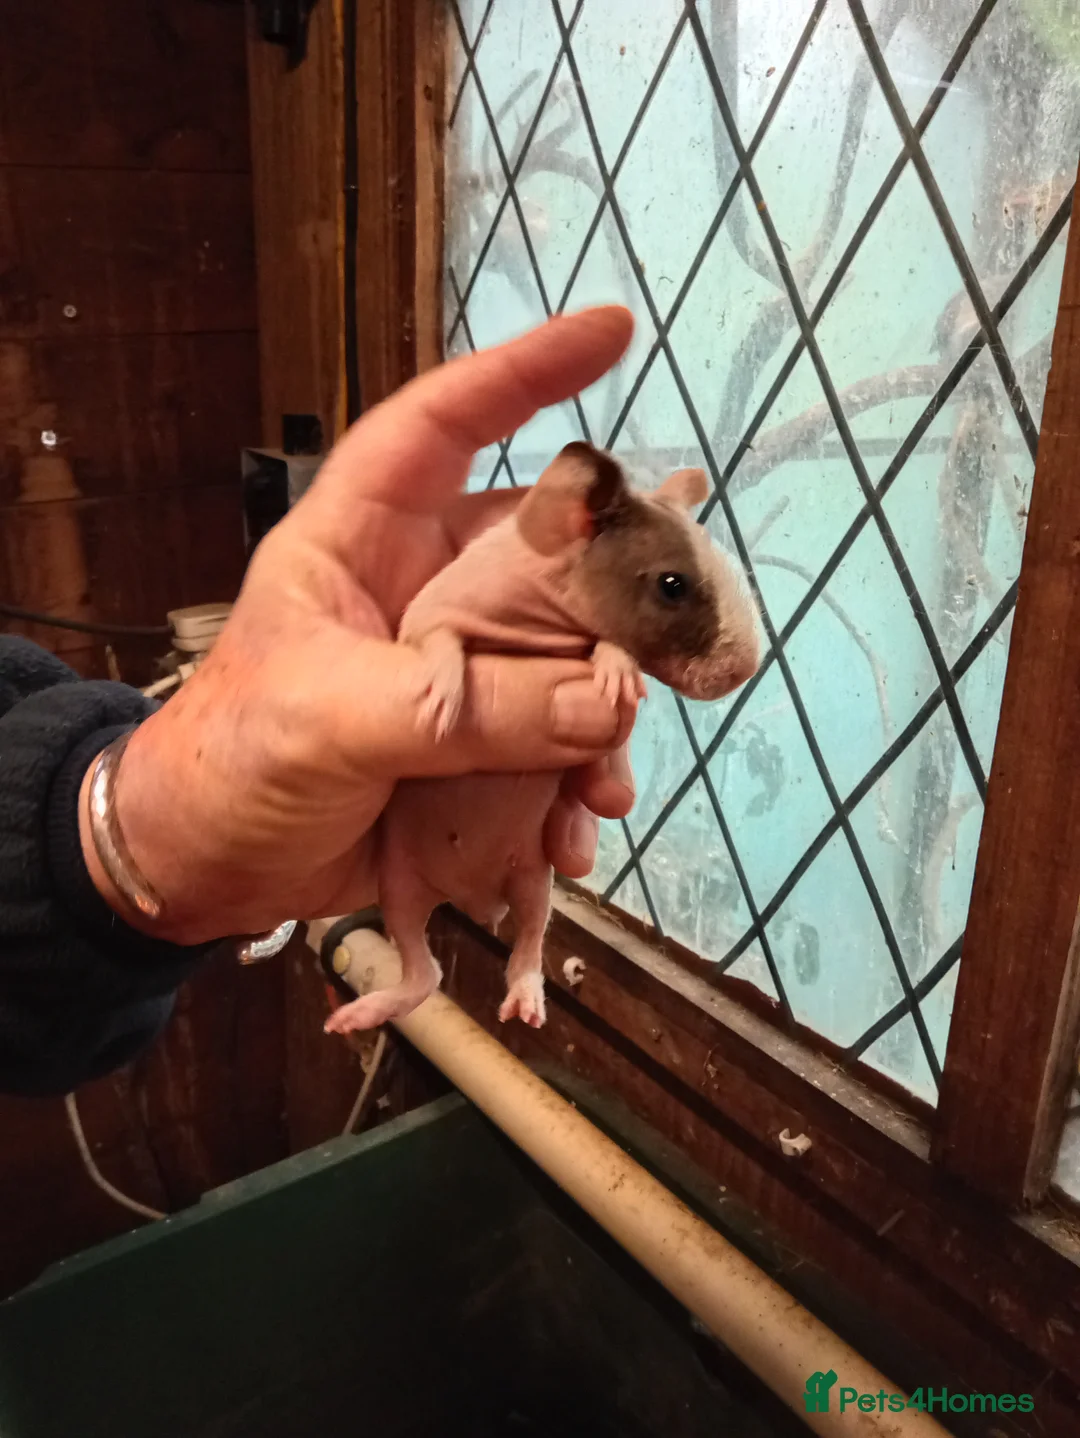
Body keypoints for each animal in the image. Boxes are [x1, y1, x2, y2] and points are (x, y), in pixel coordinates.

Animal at [324, 441, 759, 1036]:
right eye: (673, 585)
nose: (748, 668)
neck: (538, 623)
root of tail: (471, 898)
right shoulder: (433, 608)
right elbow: (435, 636)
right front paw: (441, 690)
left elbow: (607, 654)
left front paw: (616, 667)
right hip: (398, 884)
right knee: (423, 972)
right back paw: (364, 1010)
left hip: (532, 877)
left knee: (522, 945)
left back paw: (525, 996)